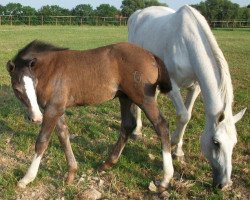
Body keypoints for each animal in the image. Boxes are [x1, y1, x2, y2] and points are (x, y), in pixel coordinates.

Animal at [6, 40, 173, 191]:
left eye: (33, 84)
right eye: (17, 89)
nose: (36, 118)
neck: (51, 69)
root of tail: (151, 55)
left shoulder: (52, 109)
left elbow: (42, 141)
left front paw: (26, 179)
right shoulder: (57, 108)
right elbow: (63, 135)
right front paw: (71, 174)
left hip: (144, 98)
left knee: (161, 125)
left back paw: (165, 180)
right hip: (125, 97)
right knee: (127, 125)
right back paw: (106, 164)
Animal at [129, 5, 246, 189]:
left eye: (234, 143)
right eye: (216, 142)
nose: (225, 185)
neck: (187, 45)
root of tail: (138, 14)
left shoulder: (195, 87)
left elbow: (188, 115)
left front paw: (178, 152)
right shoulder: (171, 85)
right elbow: (183, 116)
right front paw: (172, 142)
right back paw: (137, 131)